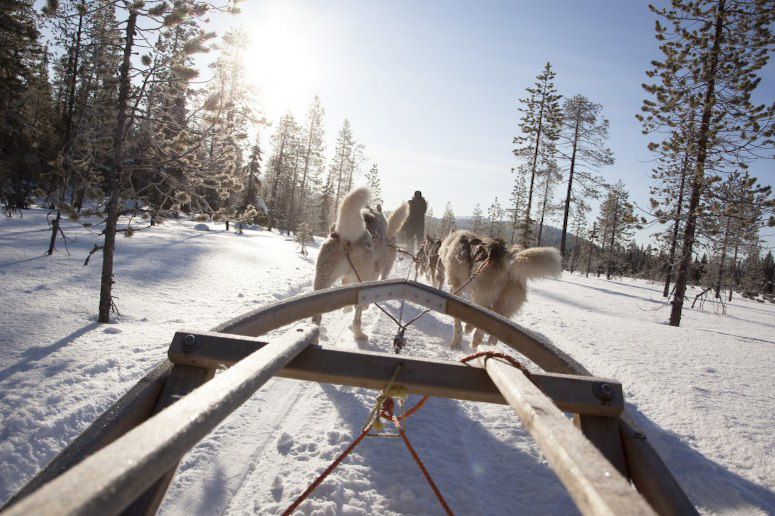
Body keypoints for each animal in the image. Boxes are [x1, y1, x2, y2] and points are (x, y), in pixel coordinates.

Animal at [312, 186, 410, 338]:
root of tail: (347, 237)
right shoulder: (376, 272)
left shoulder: (346, 278)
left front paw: (346, 308)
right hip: (362, 284)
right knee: (357, 317)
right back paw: (360, 334)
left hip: (322, 279)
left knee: (316, 316)